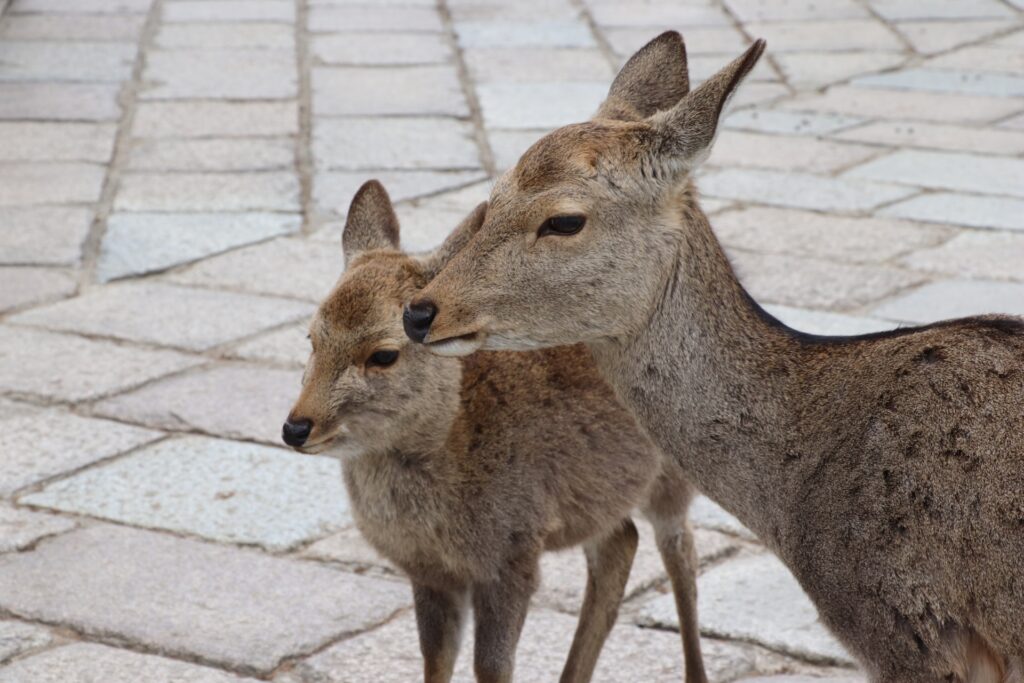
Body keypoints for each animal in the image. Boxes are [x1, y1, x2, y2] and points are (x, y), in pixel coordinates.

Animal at [281, 180, 709, 683]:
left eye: (383, 354)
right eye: (312, 338)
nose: (296, 427)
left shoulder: (513, 553)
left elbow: (491, 665)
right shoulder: (430, 574)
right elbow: (435, 659)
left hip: (675, 476)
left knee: (680, 551)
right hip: (601, 495)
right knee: (621, 544)